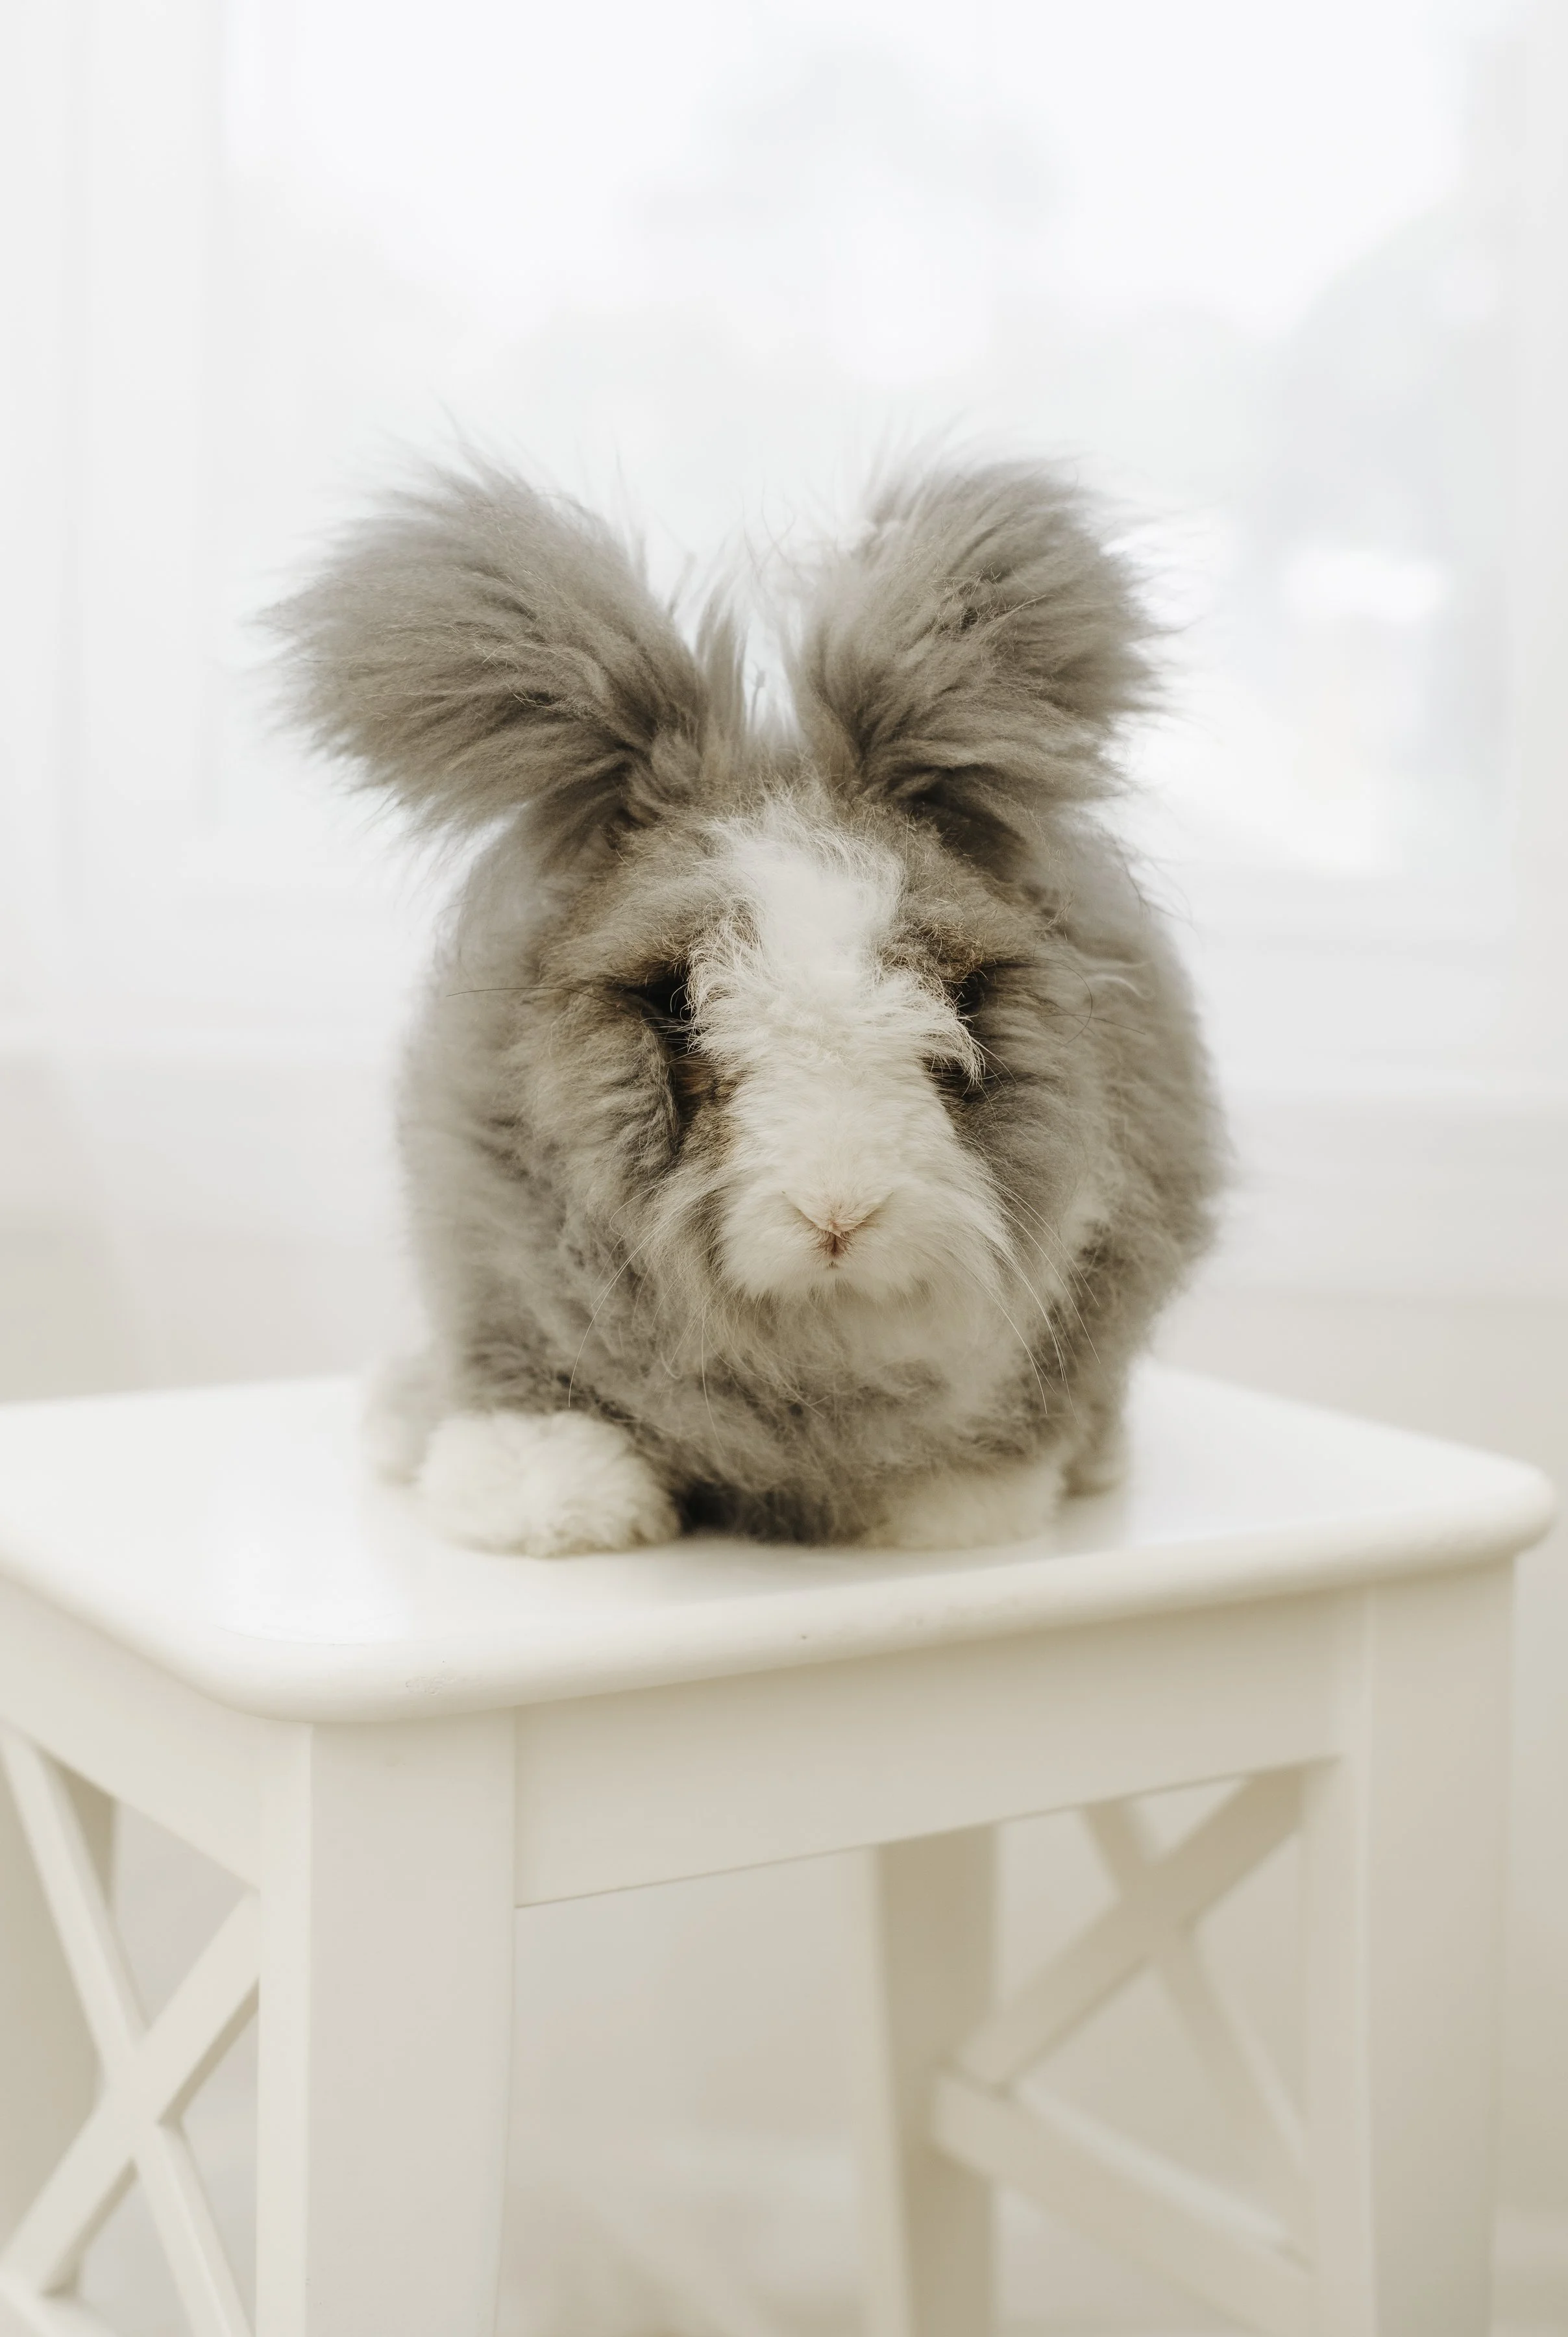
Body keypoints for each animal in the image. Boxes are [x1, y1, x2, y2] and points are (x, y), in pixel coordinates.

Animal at [270, 458, 1222, 1555]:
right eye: (679, 1006)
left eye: (954, 1001)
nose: (839, 1215)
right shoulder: (496, 1273)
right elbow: (534, 1388)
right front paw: (551, 1507)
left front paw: (948, 1513)